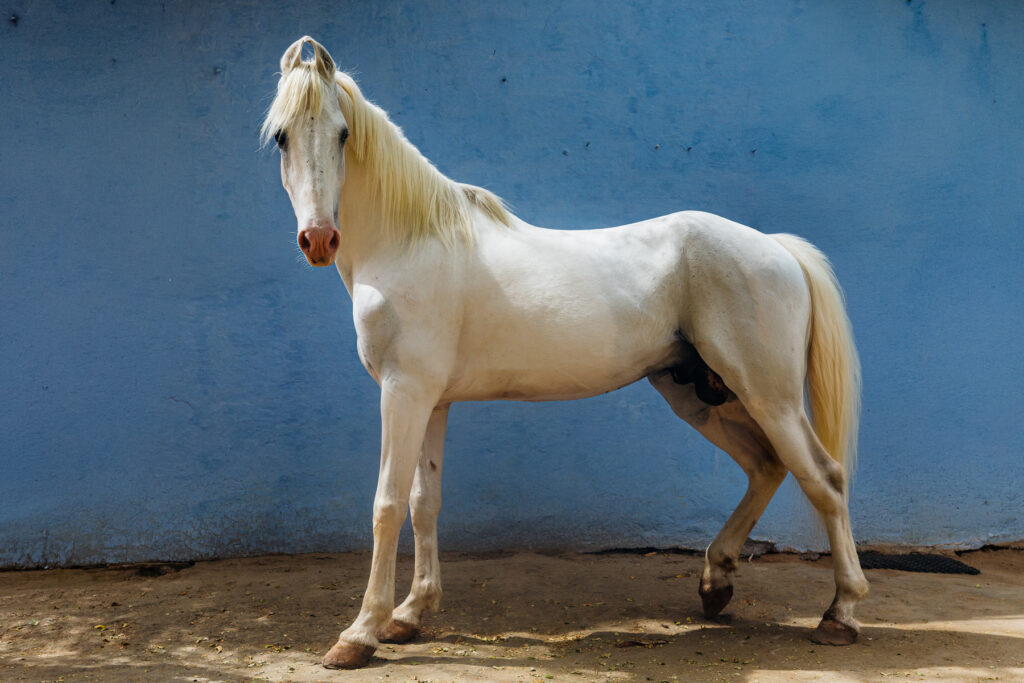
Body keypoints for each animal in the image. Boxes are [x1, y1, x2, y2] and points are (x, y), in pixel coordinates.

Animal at [261, 37, 868, 669]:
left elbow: (386, 504)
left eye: (341, 134)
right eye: (281, 136)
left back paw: (840, 615)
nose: (319, 240)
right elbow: (424, 501)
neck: (411, 242)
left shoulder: (404, 392)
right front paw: (410, 615)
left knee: (824, 478)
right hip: (701, 396)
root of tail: (776, 248)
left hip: (768, 395)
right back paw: (715, 583)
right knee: (766, 466)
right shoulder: (432, 400)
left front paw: (360, 634)